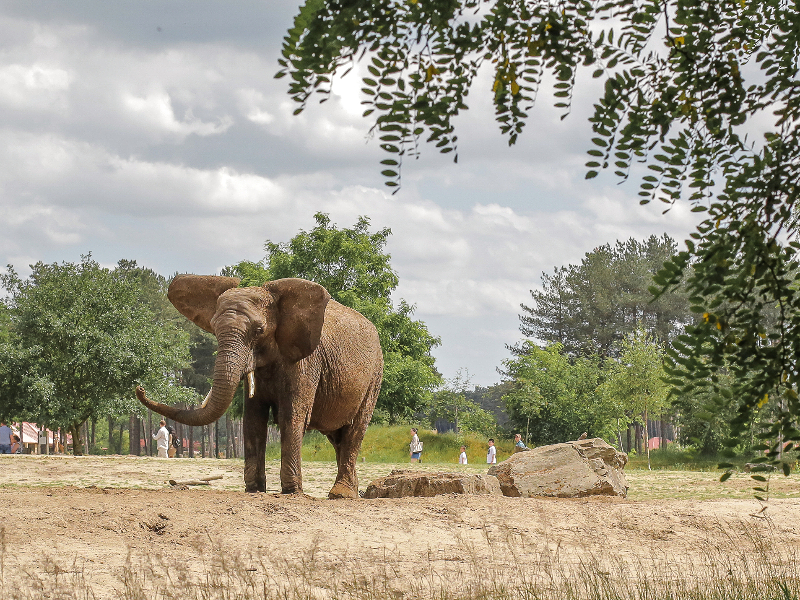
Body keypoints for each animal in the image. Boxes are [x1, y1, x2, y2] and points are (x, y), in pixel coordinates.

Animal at [137, 276, 384, 496]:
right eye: (214, 329)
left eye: (258, 331)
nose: (140, 388)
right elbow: (253, 418)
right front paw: (254, 489)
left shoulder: (305, 362)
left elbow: (291, 416)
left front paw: (292, 491)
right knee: (337, 437)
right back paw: (351, 492)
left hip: (375, 374)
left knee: (355, 429)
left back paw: (341, 494)